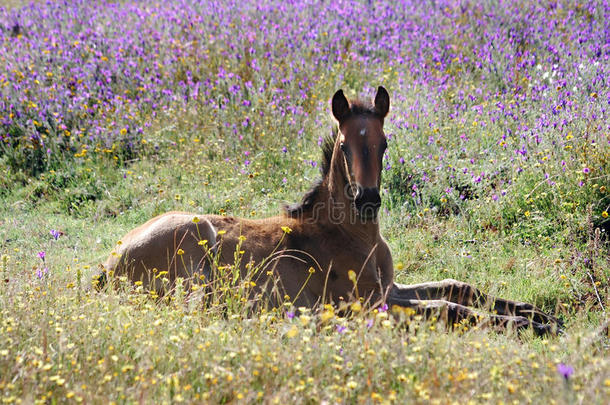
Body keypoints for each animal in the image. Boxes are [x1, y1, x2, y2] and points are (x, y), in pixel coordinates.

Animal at [100, 86, 560, 334]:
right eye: (344, 145)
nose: (368, 200)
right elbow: (447, 308)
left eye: (384, 144)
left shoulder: (389, 288)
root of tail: (107, 266)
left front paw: (532, 311)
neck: (354, 235)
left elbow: (456, 287)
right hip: (195, 243)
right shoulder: (366, 304)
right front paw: (534, 325)